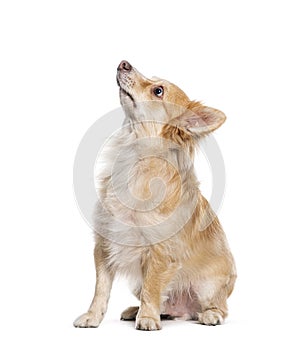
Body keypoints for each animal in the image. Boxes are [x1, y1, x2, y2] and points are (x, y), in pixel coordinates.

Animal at [74, 60, 236, 330]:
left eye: (158, 91)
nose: (124, 63)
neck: (135, 159)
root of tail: (184, 311)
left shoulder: (160, 253)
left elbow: (152, 286)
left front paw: (148, 319)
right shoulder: (105, 245)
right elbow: (101, 289)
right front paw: (92, 316)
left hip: (209, 286)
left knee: (219, 307)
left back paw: (208, 315)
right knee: (164, 303)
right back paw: (138, 310)